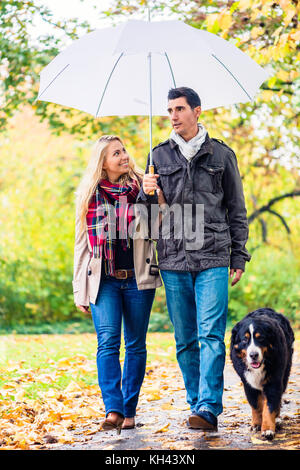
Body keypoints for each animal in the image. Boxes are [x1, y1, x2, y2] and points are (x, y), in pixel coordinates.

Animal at [231, 308, 294, 440]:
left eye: (260, 338)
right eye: (244, 339)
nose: (253, 355)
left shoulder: (273, 382)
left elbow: (269, 407)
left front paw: (268, 429)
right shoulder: (248, 384)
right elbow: (255, 405)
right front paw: (256, 424)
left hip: (285, 373)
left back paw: (277, 419)